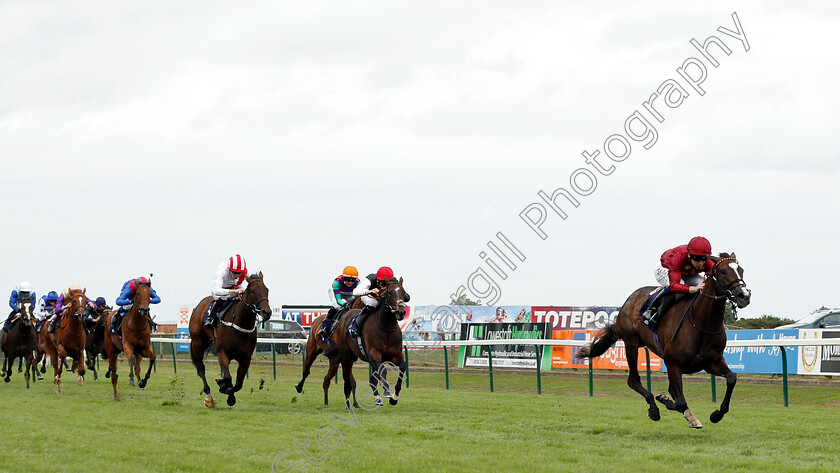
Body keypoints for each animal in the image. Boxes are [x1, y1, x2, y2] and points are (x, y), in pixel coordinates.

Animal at [189, 272, 270, 408]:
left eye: (267, 290)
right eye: (253, 292)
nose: (267, 312)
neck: (239, 323)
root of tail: (201, 304)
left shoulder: (246, 357)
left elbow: (238, 383)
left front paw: (229, 394)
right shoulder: (222, 352)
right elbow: (227, 377)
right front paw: (222, 385)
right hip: (197, 342)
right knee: (201, 369)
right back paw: (209, 398)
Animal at [296, 276, 410, 410]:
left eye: (404, 293)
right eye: (389, 293)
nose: (400, 312)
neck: (385, 328)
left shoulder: (394, 355)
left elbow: (401, 367)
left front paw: (393, 397)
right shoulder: (373, 355)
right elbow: (381, 371)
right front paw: (386, 392)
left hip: (335, 360)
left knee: (327, 380)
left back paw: (329, 401)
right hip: (320, 352)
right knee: (308, 371)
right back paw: (299, 387)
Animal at [580, 254, 752, 428]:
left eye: (741, 270)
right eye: (723, 271)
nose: (744, 295)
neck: (700, 323)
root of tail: (628, 301)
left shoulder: (711, 362)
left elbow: (731, 378)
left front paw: (716, 414)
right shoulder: (673, 365)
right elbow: (681, 403)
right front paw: (685, 414)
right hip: (631, 343)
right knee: (633, 380)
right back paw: (654, 409)